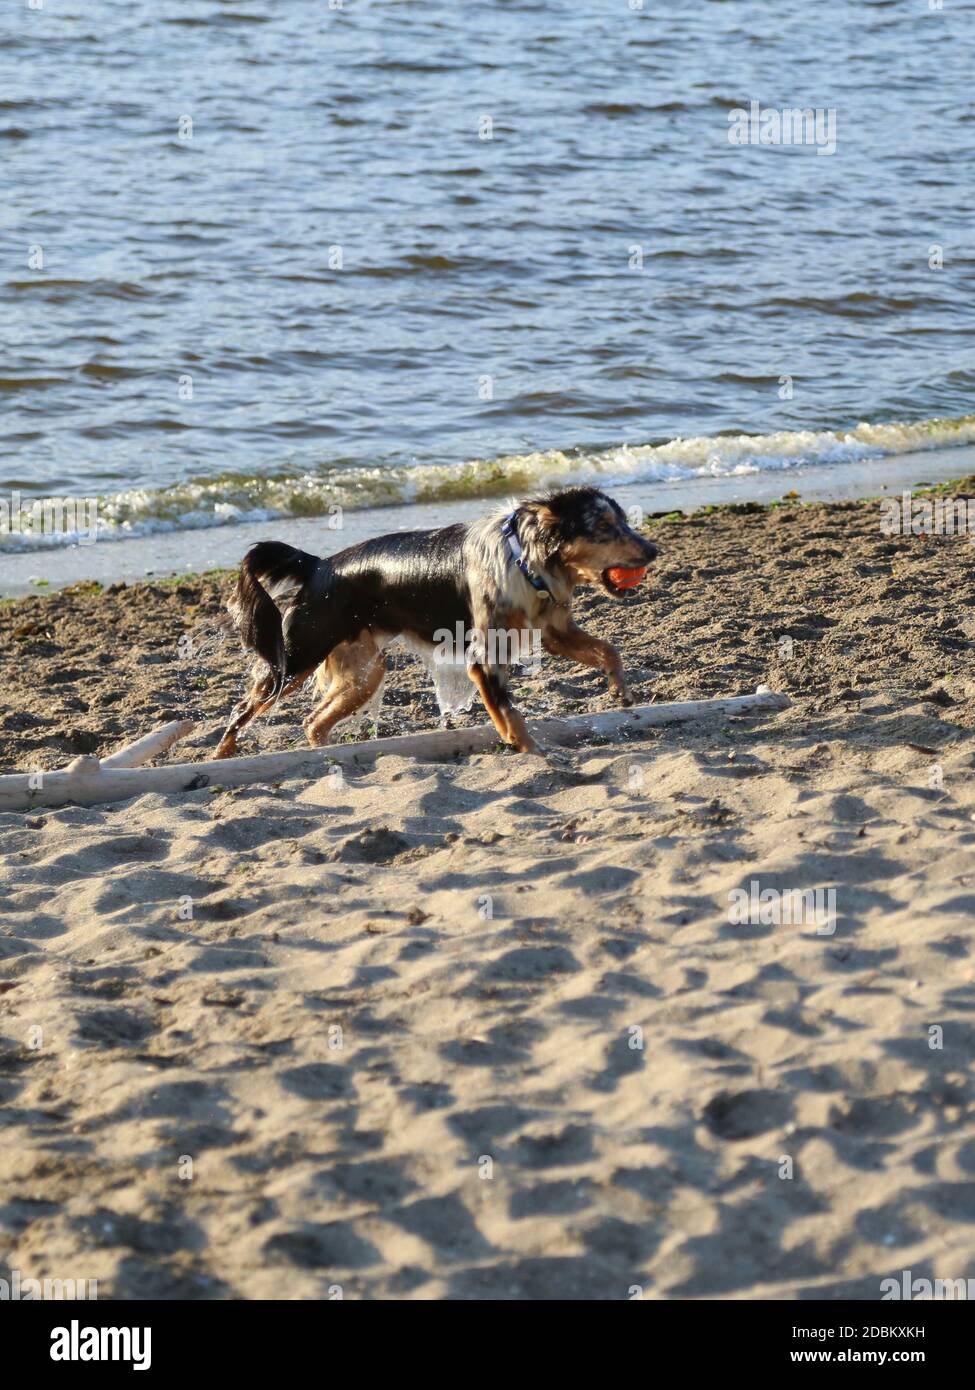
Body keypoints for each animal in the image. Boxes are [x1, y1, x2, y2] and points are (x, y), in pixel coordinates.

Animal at [216, 483, 659, 756]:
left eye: (623, 521)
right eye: (603, 527)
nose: (653, 550)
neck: (523, 560)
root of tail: (318, 565)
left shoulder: (554, 632)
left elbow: (609, 650)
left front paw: (621, 690)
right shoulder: (484, 660)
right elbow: (510, 714)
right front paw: (530, 750)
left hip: (365, 671)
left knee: (312, 722)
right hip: (295, 659)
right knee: (241, 711)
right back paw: (223, 754)